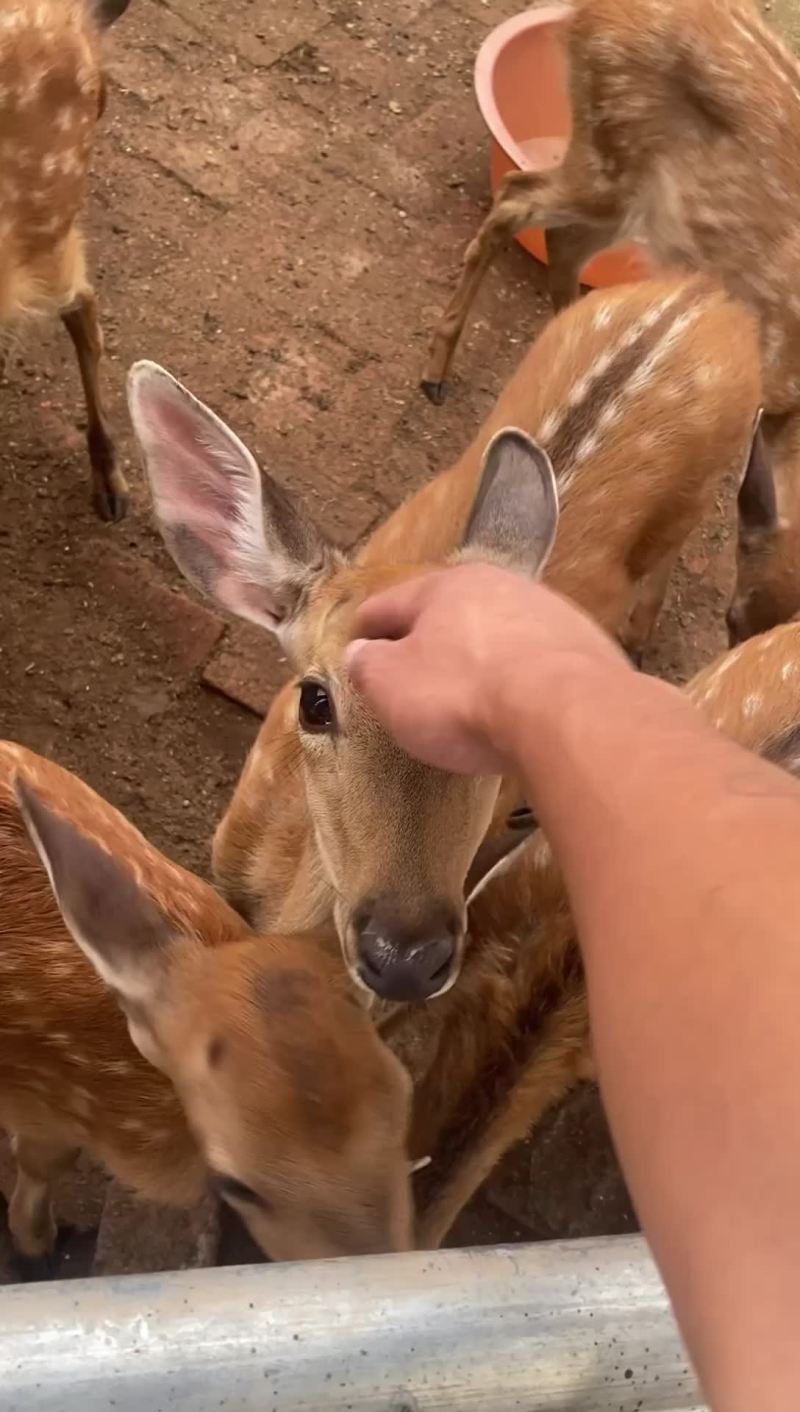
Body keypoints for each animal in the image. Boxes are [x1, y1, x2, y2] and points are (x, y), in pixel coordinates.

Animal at [422, 0, 800, 645]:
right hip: (612, 157)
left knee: (560, 240)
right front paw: (639, 632)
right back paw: (436, 372)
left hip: (623, 194)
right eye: (731, 616)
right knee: (516, 198)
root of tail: (588, 14)